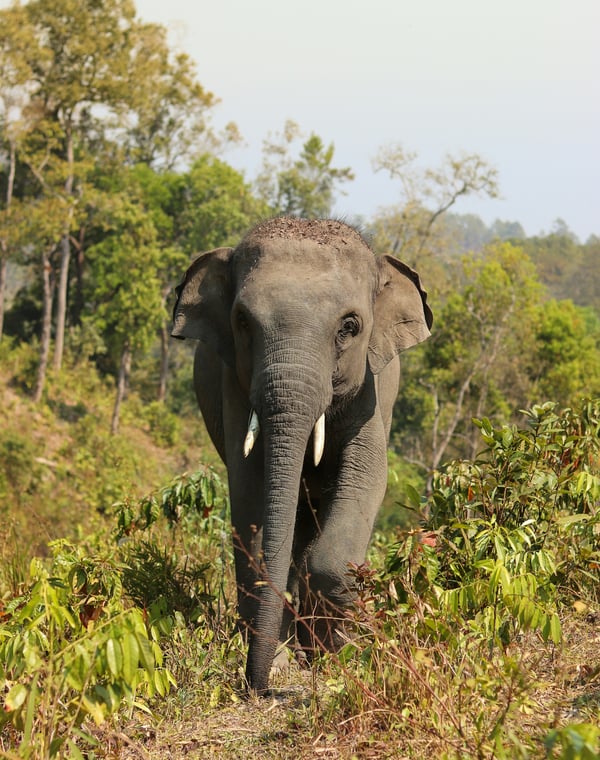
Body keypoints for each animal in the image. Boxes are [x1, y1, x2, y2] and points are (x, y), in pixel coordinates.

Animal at [171, 217, 432, 695]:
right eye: (242, 321)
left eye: (350, 327)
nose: (258, 688)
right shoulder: (233, 382)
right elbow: (250, 488)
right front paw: (281, 663)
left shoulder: (374, 386)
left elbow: (367, 475)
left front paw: (336, 654)